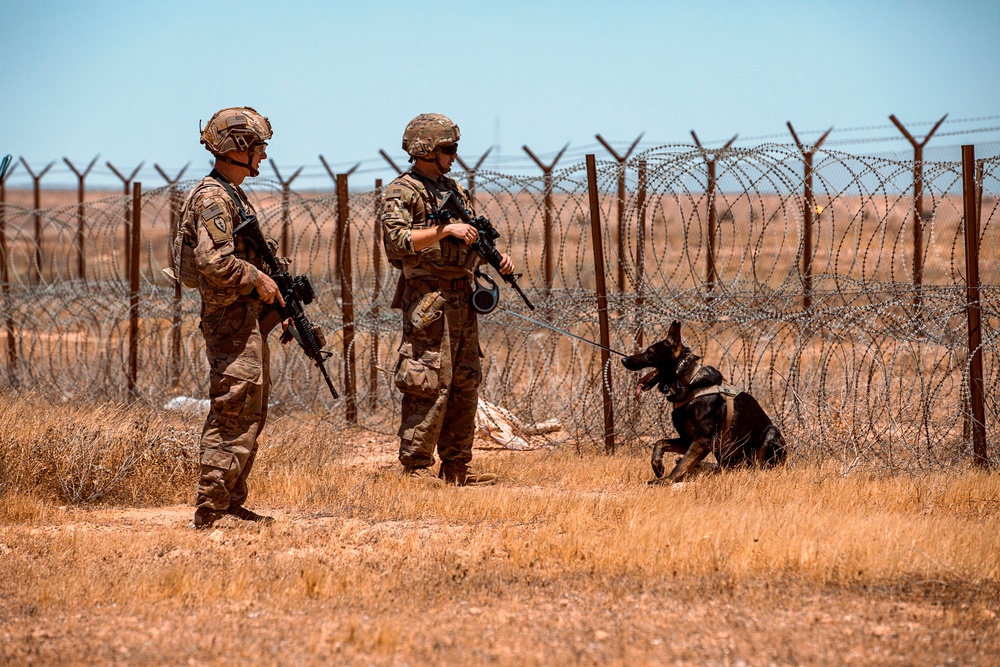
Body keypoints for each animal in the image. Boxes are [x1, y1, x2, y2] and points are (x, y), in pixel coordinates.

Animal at [620, 320, 784, 482]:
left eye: (649, 352)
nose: (623, 359)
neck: (686, 382)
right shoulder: (687, 440)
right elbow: (660, 442)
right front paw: (657, 465)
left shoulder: (701, 441)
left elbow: (680, 466)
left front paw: (666, 481)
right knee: (724, 467)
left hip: (771, 433)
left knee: (755, 466)